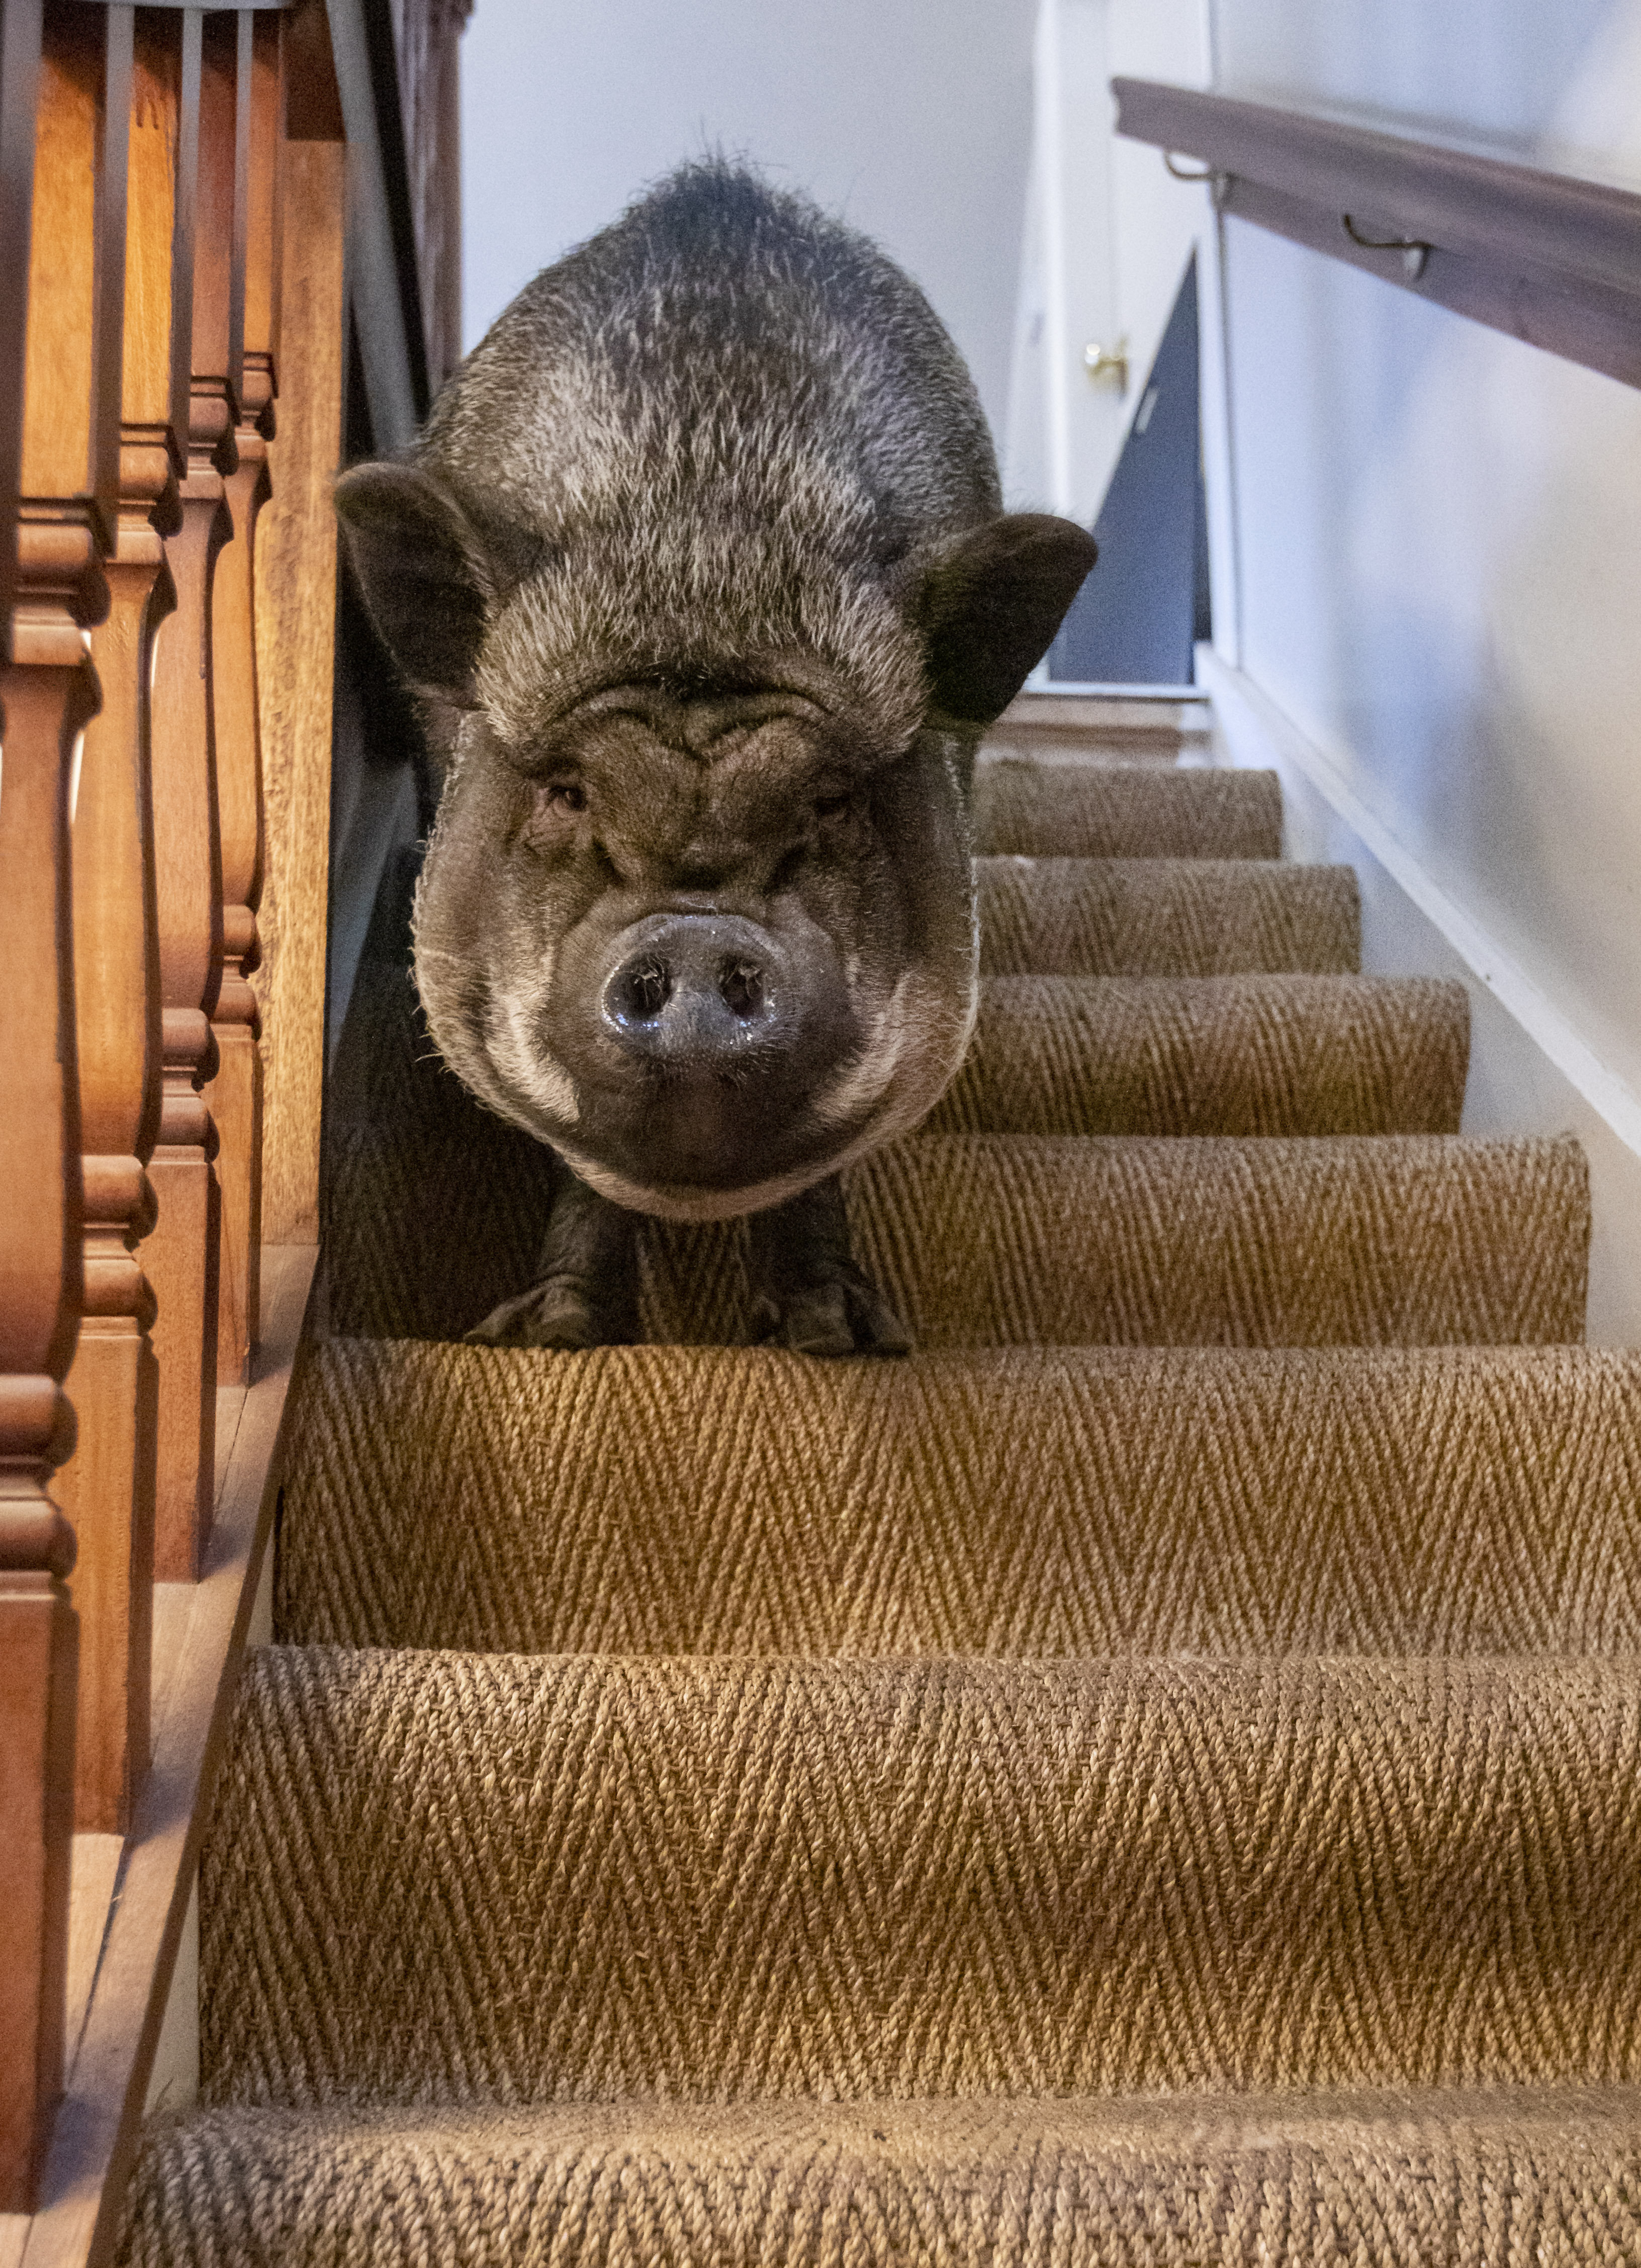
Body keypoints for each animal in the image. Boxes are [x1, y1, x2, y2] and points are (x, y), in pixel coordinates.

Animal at [333, 167, 1097, 1351]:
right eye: (568, 789)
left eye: (830, 797)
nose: (694, 937)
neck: (705, 562)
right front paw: (549, 1337)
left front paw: (842, 1339)